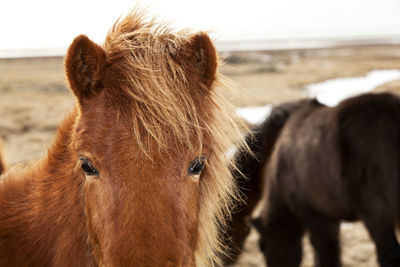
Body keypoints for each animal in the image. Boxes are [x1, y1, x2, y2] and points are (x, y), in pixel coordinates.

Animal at [252, 92, 400, 267]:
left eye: (263, 246)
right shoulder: (330, 215)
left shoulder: (316, 215)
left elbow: (326, 252)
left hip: (376, 208)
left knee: (389, 253)